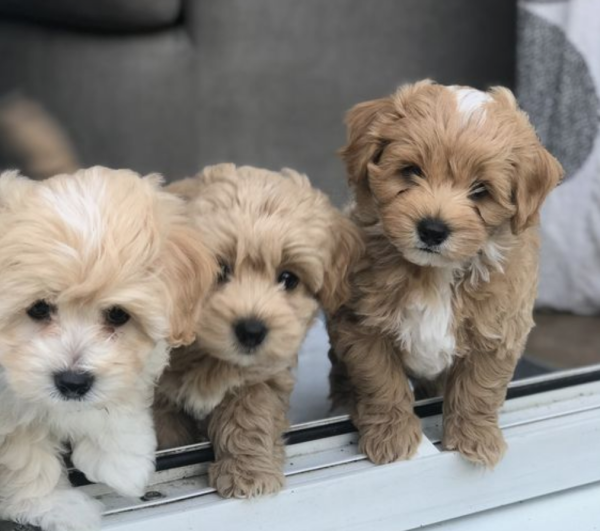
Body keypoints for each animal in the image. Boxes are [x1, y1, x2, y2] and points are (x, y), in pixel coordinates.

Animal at [0, 167, 216, 531]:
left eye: (117, 314)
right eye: (38, 309)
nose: (73, 382)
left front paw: (123, 460)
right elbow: (22, 453)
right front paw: (56, 506)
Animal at [154, 164, 360, 500]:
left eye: (288, 279)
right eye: (219, 270)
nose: (251, 330)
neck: (211, 357)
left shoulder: (262, 376)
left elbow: (250, 417)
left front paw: (248, 473)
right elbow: (167, 436)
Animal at [326, 80, 564, 470]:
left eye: (481, 190)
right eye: (411, 170)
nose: (433, 229)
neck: (436, 273)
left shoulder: (499, 330)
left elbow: (480, 388)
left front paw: (475, 438)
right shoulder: (362, 327)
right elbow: (381, 381)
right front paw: (392, 436)